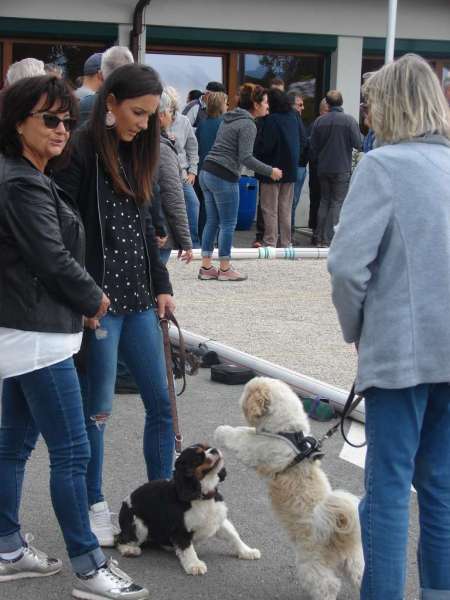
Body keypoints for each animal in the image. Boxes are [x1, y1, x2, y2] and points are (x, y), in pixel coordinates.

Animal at [114, 442, 260, 576]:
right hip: (139, 525)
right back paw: (129, 550)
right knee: (119, 539)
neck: (203, 495)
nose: (214, 449)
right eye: (198, 457)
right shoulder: (181, 529)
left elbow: (233, 536)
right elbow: (188, 549)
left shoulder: (219, 520)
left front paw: (247, 551)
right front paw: (195, 565)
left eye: (208, 446)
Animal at [214, 378, 362, 596]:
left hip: (311, 565)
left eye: (246, 393)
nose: (239, 399)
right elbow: (246, 431)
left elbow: (239, 435)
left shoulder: (255, 447)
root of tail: (338, 533)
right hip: (355, 561)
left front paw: (221, 431)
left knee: (327, 586)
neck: (290, 433)